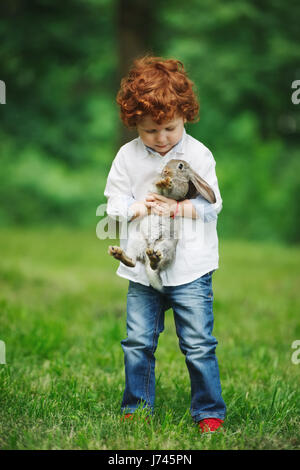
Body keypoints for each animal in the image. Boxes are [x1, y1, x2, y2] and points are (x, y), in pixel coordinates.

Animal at [108, 159, 216, 290]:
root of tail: (147, 256)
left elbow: (172, 190)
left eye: (180, 166)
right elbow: (156, 186)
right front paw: (162, 182)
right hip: (137, 242)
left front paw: (167, 184)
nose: (165, 171)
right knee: (132, 262)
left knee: (156, 264)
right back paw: (118, 253)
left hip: (165, 247)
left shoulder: (179, 190)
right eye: (168, 162)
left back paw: (153, 259)